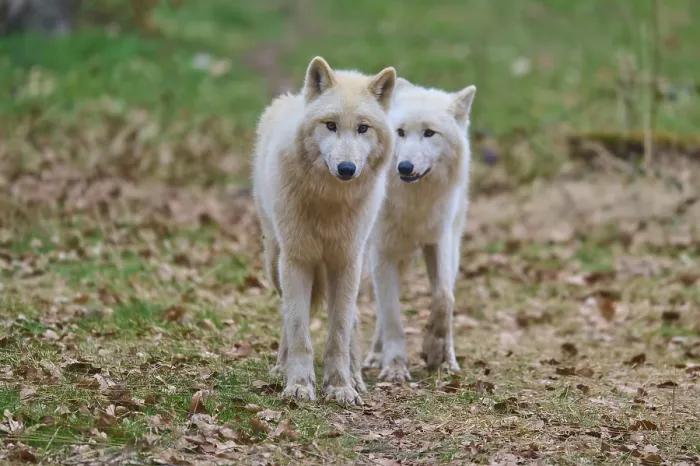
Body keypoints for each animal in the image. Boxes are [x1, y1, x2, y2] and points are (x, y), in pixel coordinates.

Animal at [252, 56, 396, 405]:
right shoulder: (296, 261)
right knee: (287, 315)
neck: (329, 200)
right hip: (275, 263)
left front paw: (342, 386)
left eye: (363, 128)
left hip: (359, 265)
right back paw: (280, 368)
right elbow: (298, 328)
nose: (346, 169)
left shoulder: (345, 263)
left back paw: (356, 377)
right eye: (330, 125)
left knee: (353, 319)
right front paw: (298, 385)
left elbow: (339, 332)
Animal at [362, 78, 476, 382]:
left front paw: (435, 350)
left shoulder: (438, 243)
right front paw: (394, 367)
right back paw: (375, 355)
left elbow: (444, 297)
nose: (404, 167)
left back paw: (450, 361)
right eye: (400, 132)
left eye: (429, 133)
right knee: (380, 309)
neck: (414, 203)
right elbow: (392, 316)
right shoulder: (383, 253)